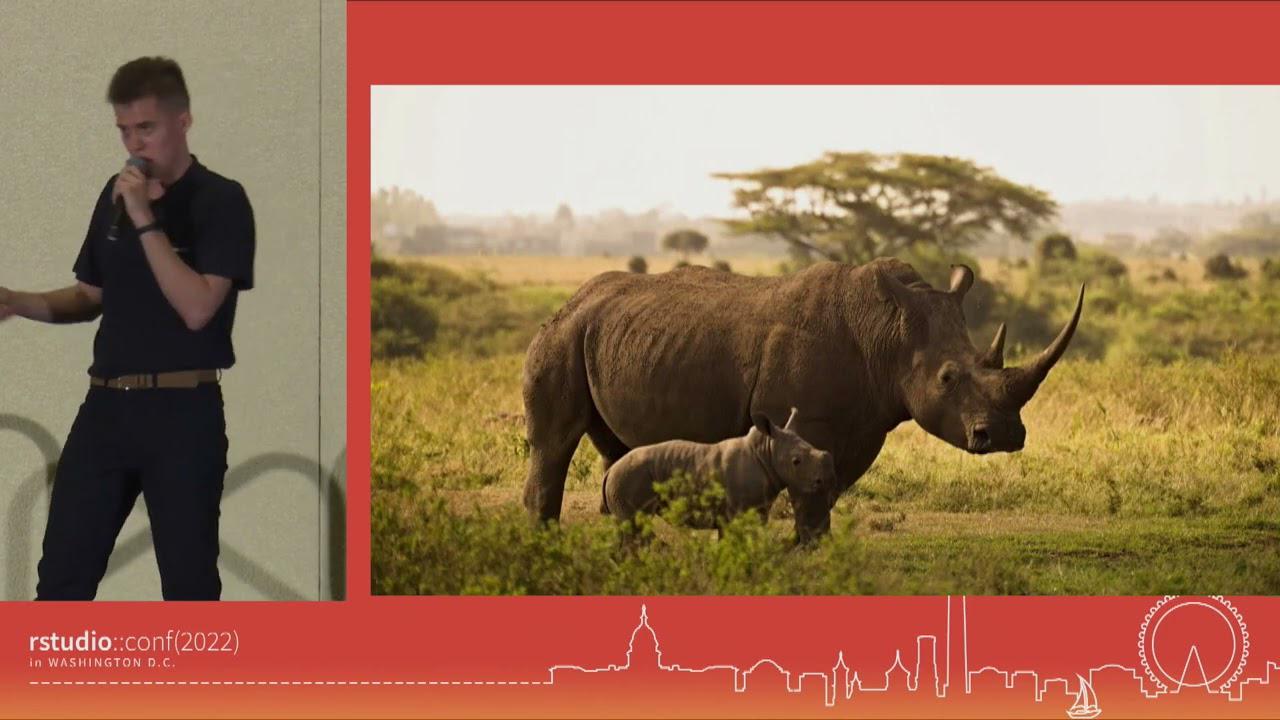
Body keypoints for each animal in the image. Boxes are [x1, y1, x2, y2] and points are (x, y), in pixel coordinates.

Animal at [602, 407, 836, 533]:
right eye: (796, 461)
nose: (825, 480)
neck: (766, 451)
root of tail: (609, 472)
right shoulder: (736, 513)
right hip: (628, 479)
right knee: (635, 528)